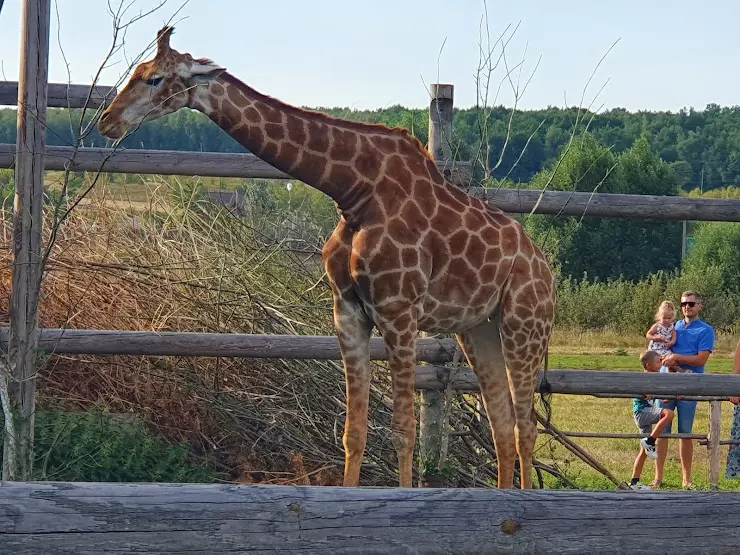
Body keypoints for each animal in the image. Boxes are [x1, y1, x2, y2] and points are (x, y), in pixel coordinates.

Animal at [99, 26, 556, 488]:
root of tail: (544, 269)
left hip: (525, 324)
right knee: (503, 426)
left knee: (526, 427)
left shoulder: (399, 312)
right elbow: (353, 432)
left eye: (154, 78)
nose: (107, 121)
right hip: (479, 328)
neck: (354, 192)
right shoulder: (348, 310)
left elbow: (403, 430)